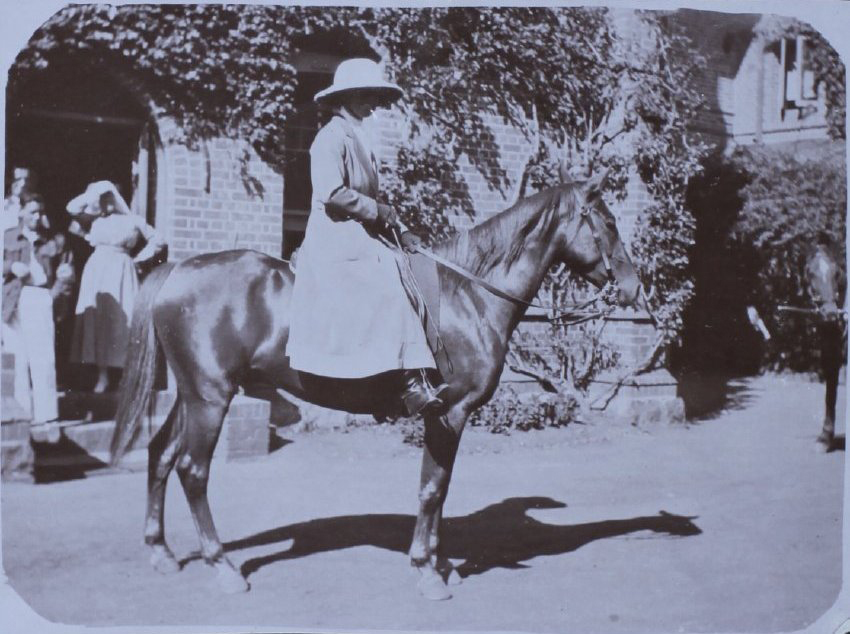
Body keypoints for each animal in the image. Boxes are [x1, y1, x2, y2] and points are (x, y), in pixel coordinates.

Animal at [110, 173, 641, 600]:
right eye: (608, 221)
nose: (634, 288)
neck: (468, 293)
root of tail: (179, 269)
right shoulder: (449, 412)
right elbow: (432, 489)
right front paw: (426, 571)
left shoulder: (449, 418)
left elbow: (441, 489)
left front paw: (439, 564)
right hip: (211, 396)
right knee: (193, 470)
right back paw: (222, 567)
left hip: (191, 395)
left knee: (160, 454)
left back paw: (161, 552)